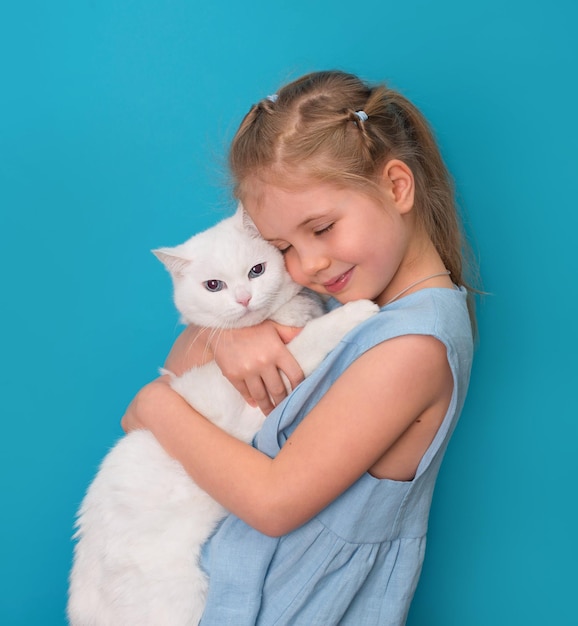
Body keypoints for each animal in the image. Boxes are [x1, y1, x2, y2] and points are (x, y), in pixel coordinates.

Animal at [68, 208, 378, 624]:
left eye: (257, 271)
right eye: (213, 286)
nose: (244, 298)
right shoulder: (265, 391)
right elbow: (309, 340)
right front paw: (354, 312)